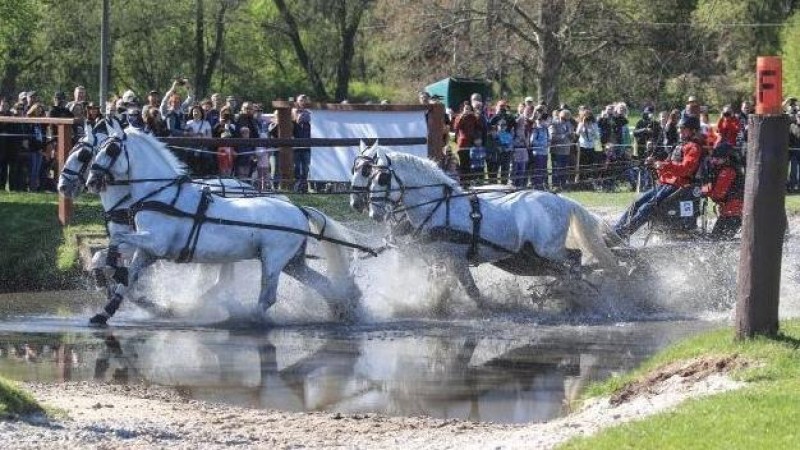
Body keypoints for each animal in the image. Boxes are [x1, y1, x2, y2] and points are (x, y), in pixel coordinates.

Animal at [85, 125, 362, 326]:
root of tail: (299, 209)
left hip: (274, 259)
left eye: (111, 150)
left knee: (267, 297)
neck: (161, 195)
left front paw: (113, 272)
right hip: (293, 262)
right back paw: (344, 307)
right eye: (96, 149)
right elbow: (123, 274)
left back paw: (246, 319)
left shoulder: (155, 242)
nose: (90, 181)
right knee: (322, 284)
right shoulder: (149, 250)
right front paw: (103, 309)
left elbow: (117, 243)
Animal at [348, 144, 620, 310]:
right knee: (567, 265)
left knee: (574, 260)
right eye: (365, 174)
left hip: (549, 250)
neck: (439, 205)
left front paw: (484, 307)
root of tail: (562, 200)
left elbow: (471, 290)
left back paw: (566, 290)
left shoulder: (454, 259)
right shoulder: (431, 256)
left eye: (381, 177)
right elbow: (434, 281)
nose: (370, 211)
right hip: (535, 254)